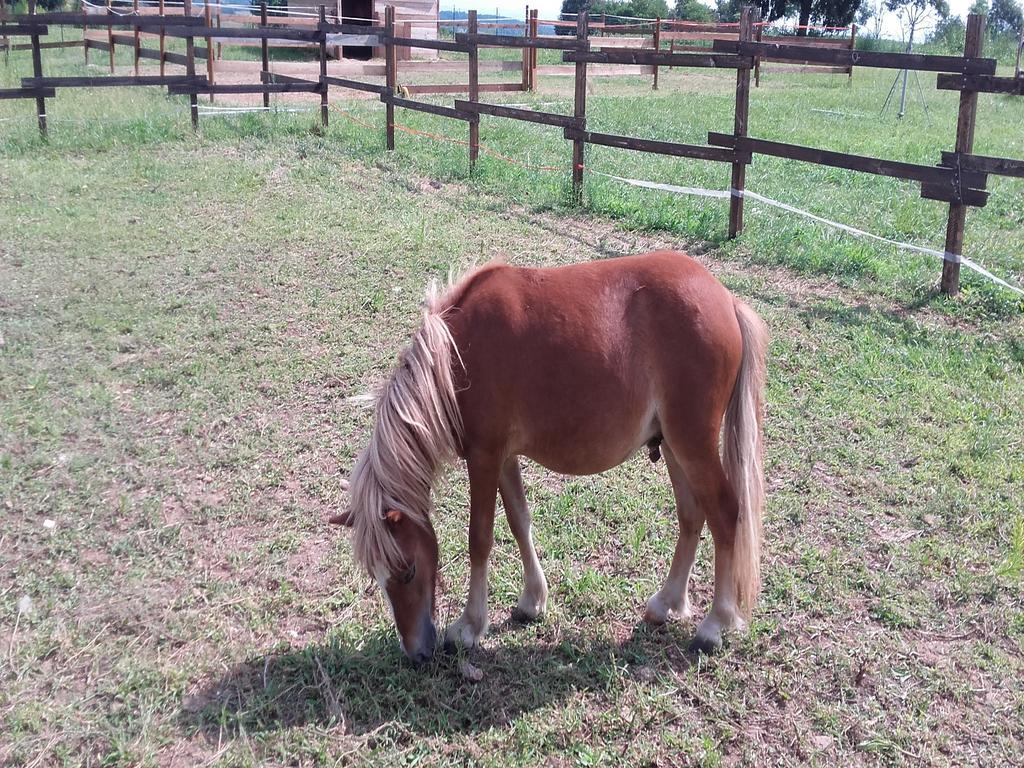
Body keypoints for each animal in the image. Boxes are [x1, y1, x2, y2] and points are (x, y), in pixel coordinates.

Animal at [331, 250, 765, 663]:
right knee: (692, 516)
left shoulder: (483, 456)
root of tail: (725, 299)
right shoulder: (503, 457)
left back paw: (715, 625)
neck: (454, 355)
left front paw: (470, 626)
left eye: (407, 571)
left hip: (693, 443)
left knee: (725, 514)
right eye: (377, 575)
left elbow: (480, 538)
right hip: (674, 445)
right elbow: (519, 522)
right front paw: (532, 601)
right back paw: (667, 603)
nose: (417, 652)